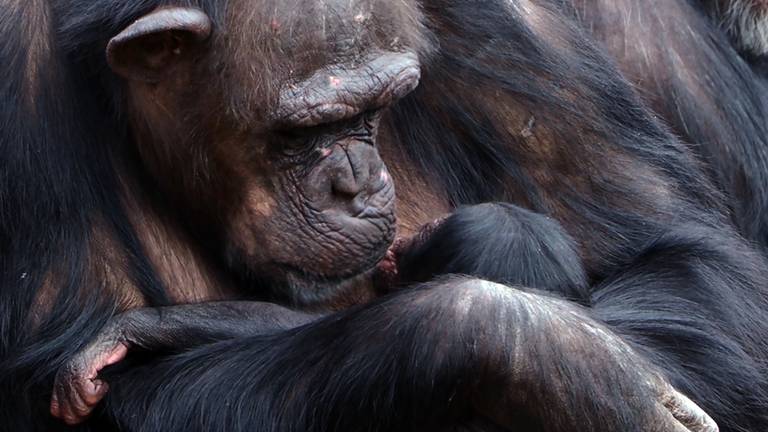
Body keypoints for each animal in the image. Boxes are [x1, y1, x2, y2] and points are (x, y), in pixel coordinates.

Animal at [1, 0, 768, 432]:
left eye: (377, 109)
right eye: (304, 130)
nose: (361, 186)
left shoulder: (515, 24)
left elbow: (691, 263)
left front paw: (530, 349)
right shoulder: (20, 76)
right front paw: (554, 356)